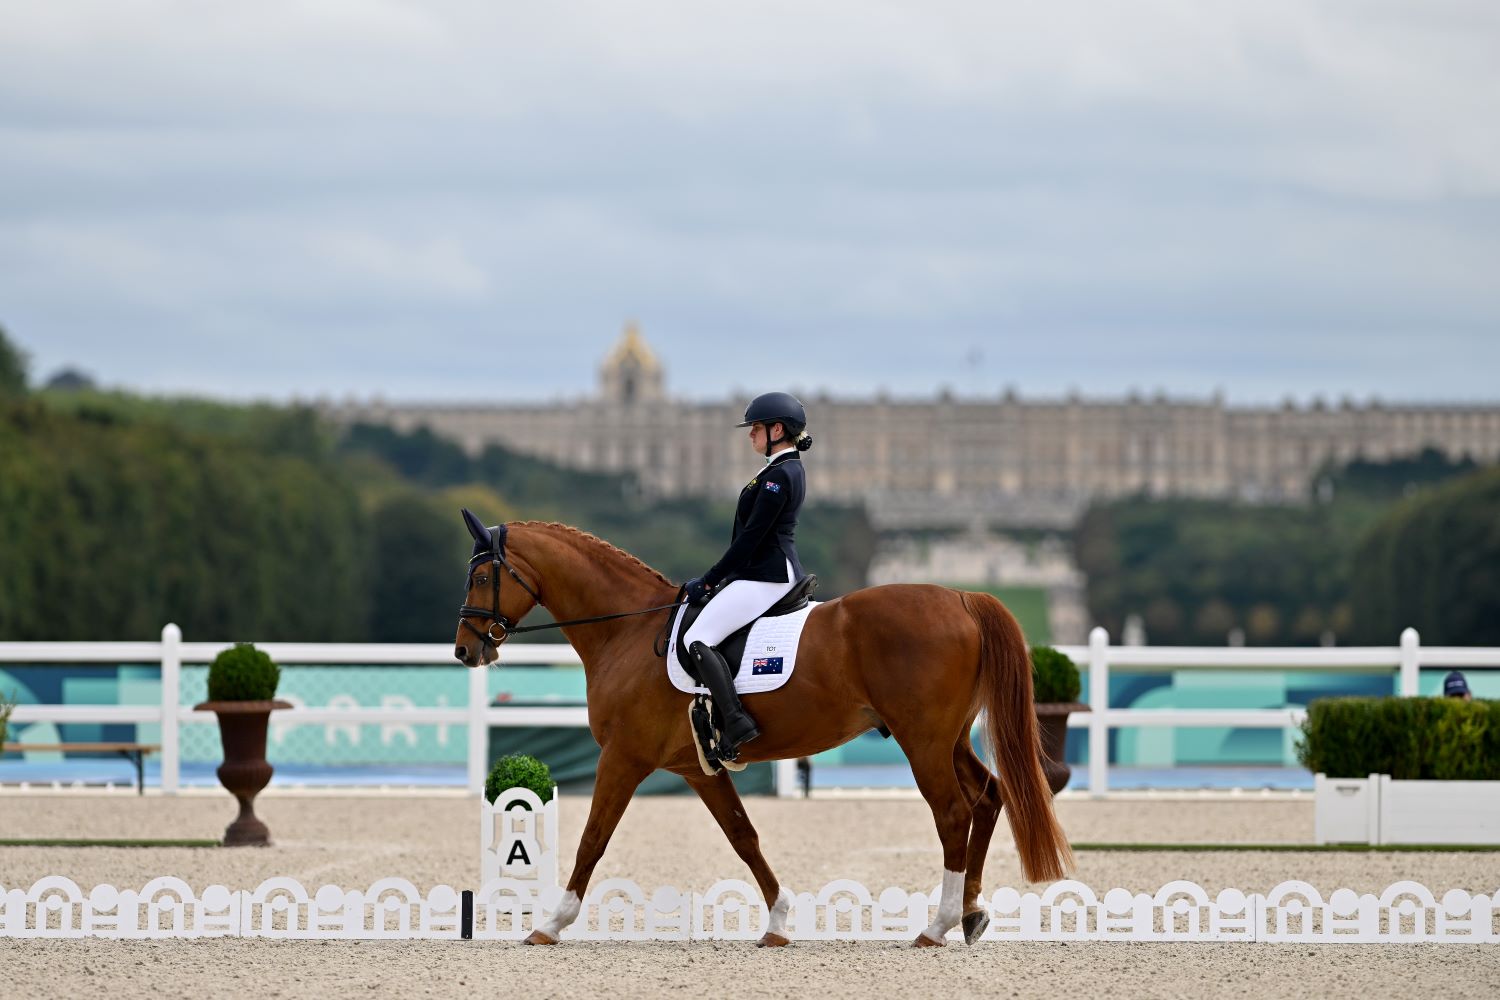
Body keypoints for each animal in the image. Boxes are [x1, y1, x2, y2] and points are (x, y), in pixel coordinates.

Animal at [450, 521, 1074, 953]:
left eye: (480, 576)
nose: (464, 649)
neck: (626, 631)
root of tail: (962, 597)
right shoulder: (695, 768)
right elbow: (743, 837)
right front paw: (777, 923)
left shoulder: (623, 758)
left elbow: (593, 838)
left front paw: (551, 923)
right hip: (948, 739)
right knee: (988, 797)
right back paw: (970, 914)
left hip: (922, 741)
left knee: (952, 812)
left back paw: (936, 926)